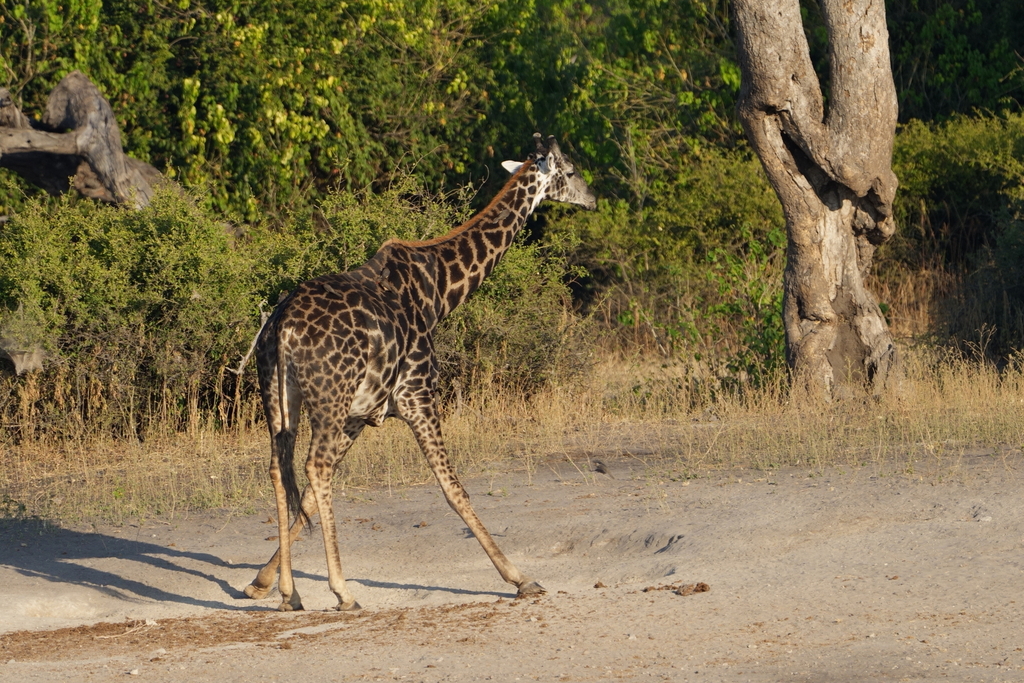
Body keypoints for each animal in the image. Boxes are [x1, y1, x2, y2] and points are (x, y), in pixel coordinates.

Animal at [243, 134, 596, 611]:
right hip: (329, 396)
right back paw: (343, 592)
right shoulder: (417, 395)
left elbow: (311, 500)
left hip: (279, 397)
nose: (593, 199)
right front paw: (521, 578)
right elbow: (453, 487)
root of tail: (283, 327)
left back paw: (290, 593)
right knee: (316, 466)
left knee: (281, 470)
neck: (438, 291)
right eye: (572, 170)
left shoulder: (362, 413)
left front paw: (262, 581)